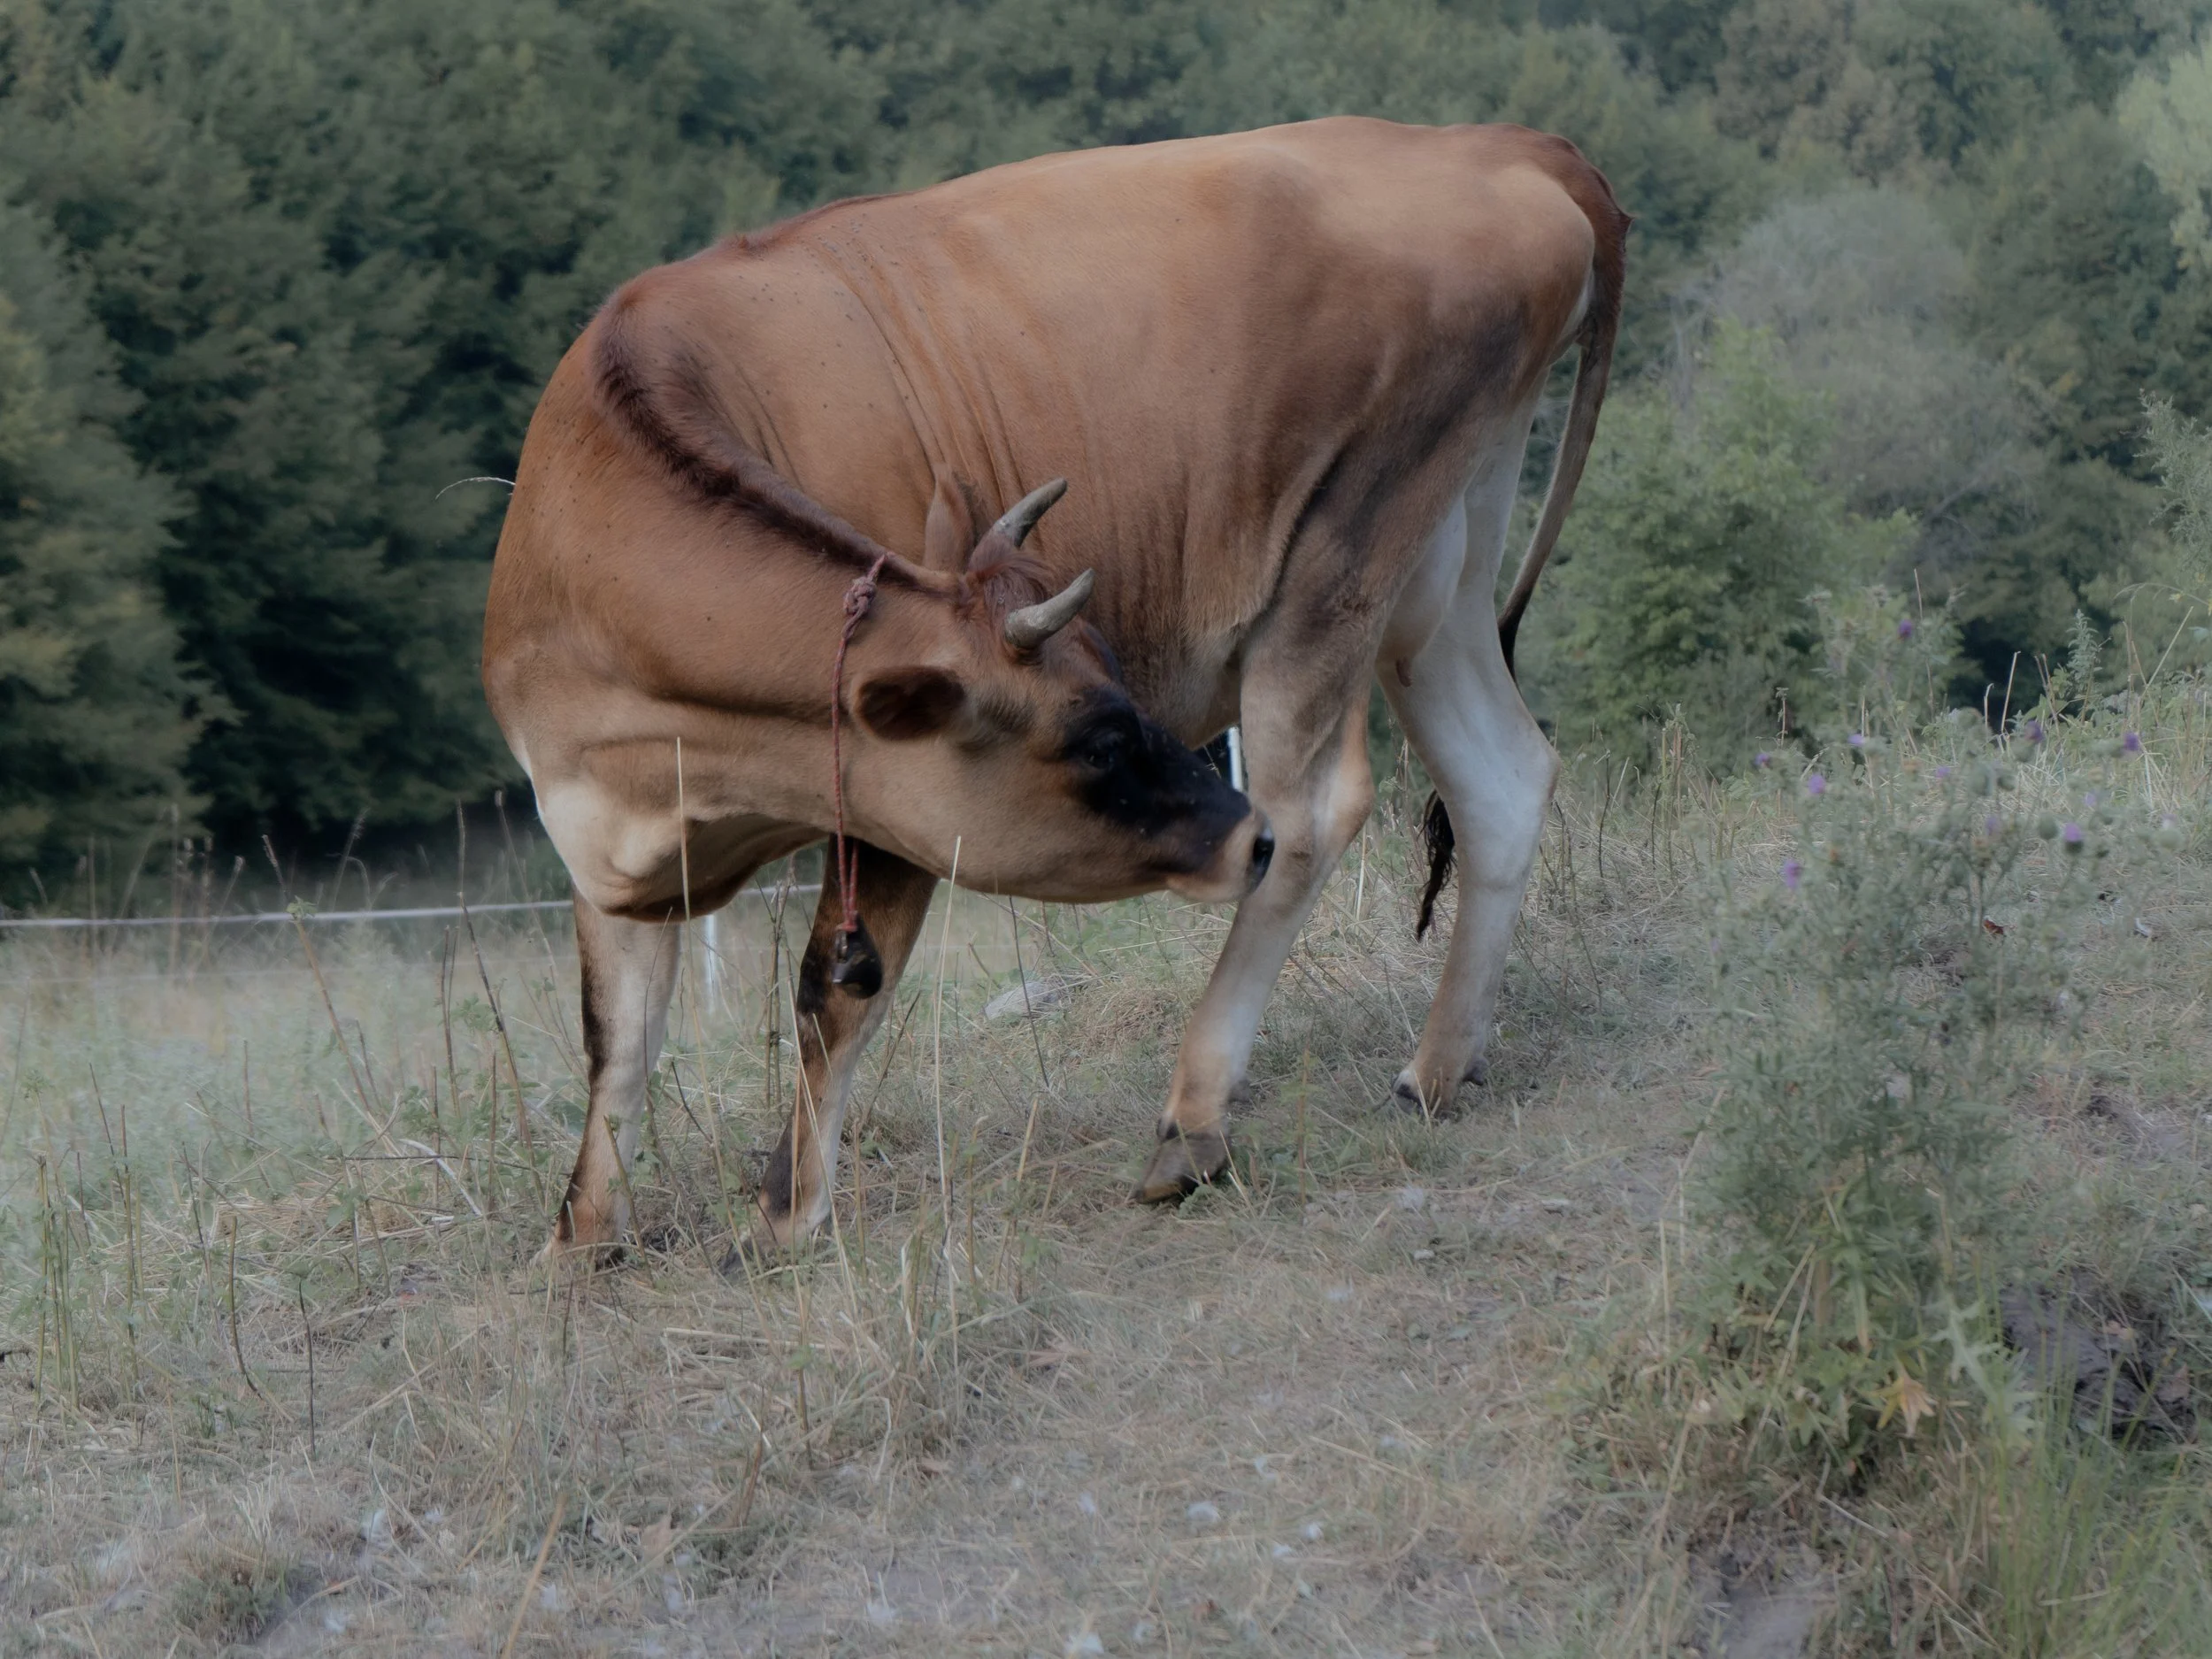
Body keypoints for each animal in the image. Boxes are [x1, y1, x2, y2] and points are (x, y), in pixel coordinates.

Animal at [482, 116, 1627, 1261]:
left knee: (1315, 809)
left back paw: (1194, 1118)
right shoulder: (604, 836)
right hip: (1443, 560)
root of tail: (1491, 143)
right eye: (1099, 740)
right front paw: (581, 1239)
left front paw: (786, 1213)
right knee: (1502, 778)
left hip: (1343, 547)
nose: (1235, 837)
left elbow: (833, 992)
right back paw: (1435, 1071)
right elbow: (617, 1036)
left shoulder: (890, 810)